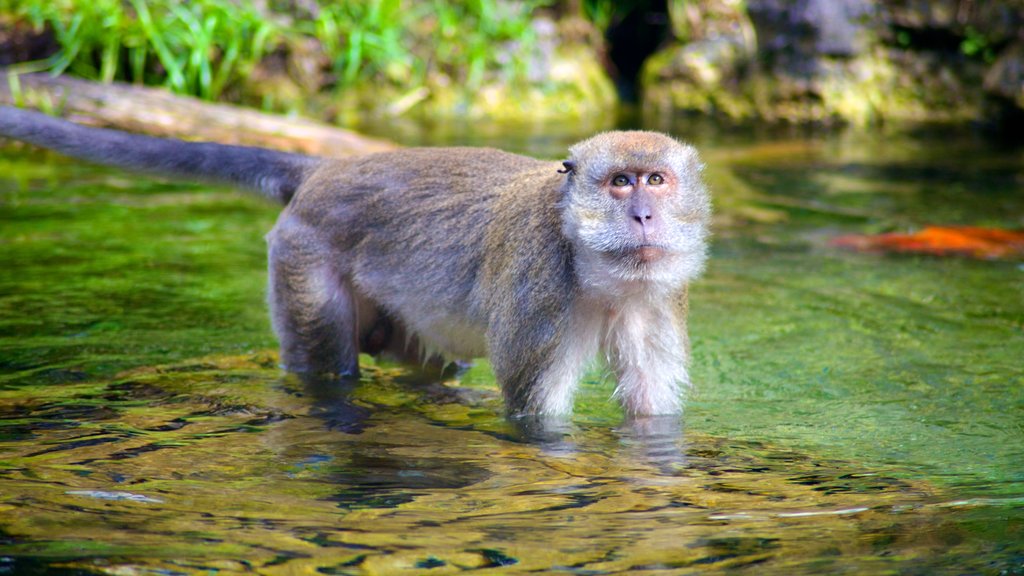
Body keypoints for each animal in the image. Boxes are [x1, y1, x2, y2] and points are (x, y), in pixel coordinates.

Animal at [0, 104, 708, 416]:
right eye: (620, 183)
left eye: (656, 181)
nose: (643, 216)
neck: (592, 269)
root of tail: (324, 171)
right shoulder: (538, 286)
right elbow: (535, 413)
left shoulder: (656, 297)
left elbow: (651, 412)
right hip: (301, 256)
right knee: (325, 364)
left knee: (433, 362)